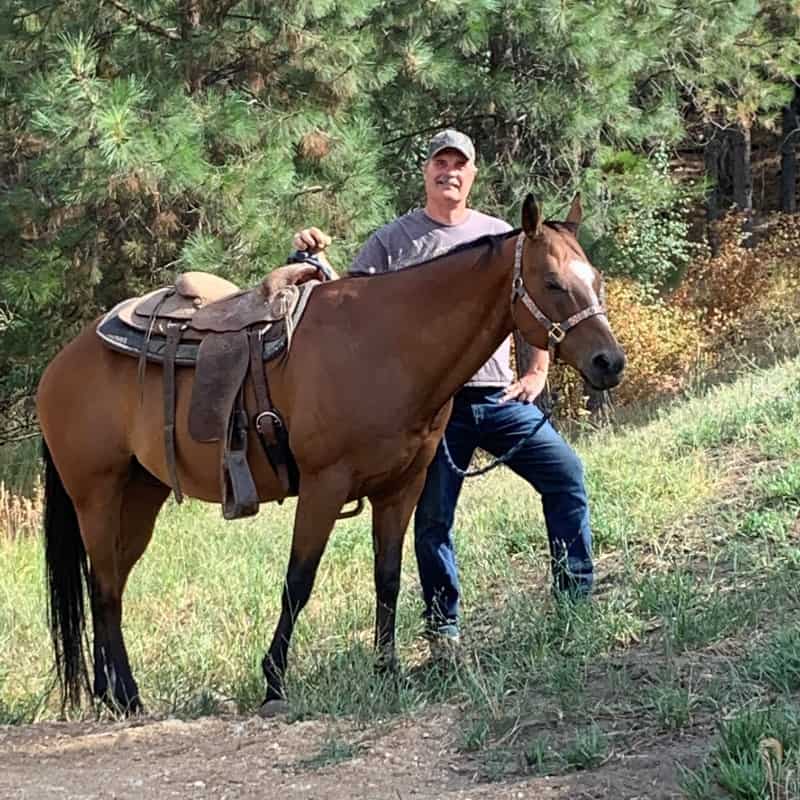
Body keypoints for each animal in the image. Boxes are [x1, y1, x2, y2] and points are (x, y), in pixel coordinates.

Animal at [36, 192, 624, 712]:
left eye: (594, 280)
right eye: (553, 283)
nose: (609, 362)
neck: (386, 344)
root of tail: (60, 365)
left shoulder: (400, 489)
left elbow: (388, 578)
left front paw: (387, 670)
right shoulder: (324, 486)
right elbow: (297, 583)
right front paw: (274, 683)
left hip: (139, 497)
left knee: (108, 588)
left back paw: (110, 694)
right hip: (97, 497)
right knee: (105, 589)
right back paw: (128, 699)